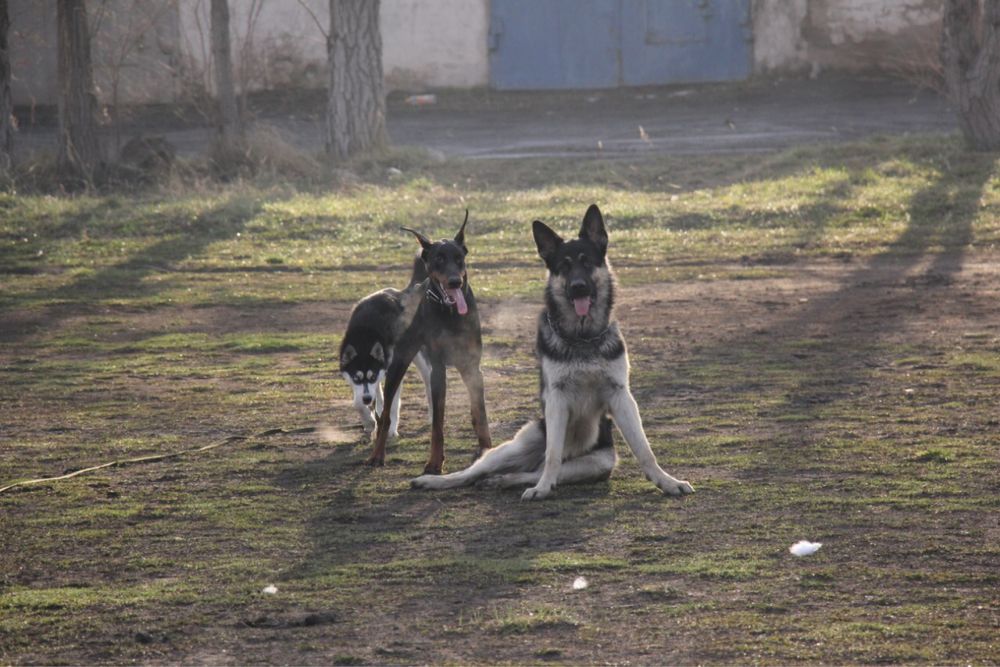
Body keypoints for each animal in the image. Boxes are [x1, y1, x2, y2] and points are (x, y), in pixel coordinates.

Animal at [338, 258, 432, 440]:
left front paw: (390, 429)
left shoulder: (391, 371)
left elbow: (392, 404)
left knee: (428, 382)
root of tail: (398, 293)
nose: (368, 399)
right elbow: (358, 402)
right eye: (357, 378)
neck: (365, 335)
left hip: (419, 359)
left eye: (372, 376)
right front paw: (369, 422)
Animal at [368, 211, 492, 472]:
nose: (455, 282)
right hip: (399, 362)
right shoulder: (438, 369)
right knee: (385, 415)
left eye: (459, 259)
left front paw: (487, 449)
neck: (451, 314)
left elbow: (480, 412)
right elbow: (437, 424)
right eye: (439, 259)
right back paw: (377, 455)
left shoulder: (472, 366)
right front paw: (435, 462)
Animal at [410, 204, 692, 500]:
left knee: (532, 471)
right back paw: (433, 480)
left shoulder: (621, 396)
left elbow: (645, 450)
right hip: (517, 445)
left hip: (596, 462)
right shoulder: (557, 399)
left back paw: (503, 480)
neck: (583, 339)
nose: (578, 287)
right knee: (479, 470)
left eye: (586, 262)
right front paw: (543, 489)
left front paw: (667, 481)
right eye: (564, 266)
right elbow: (554, 453)